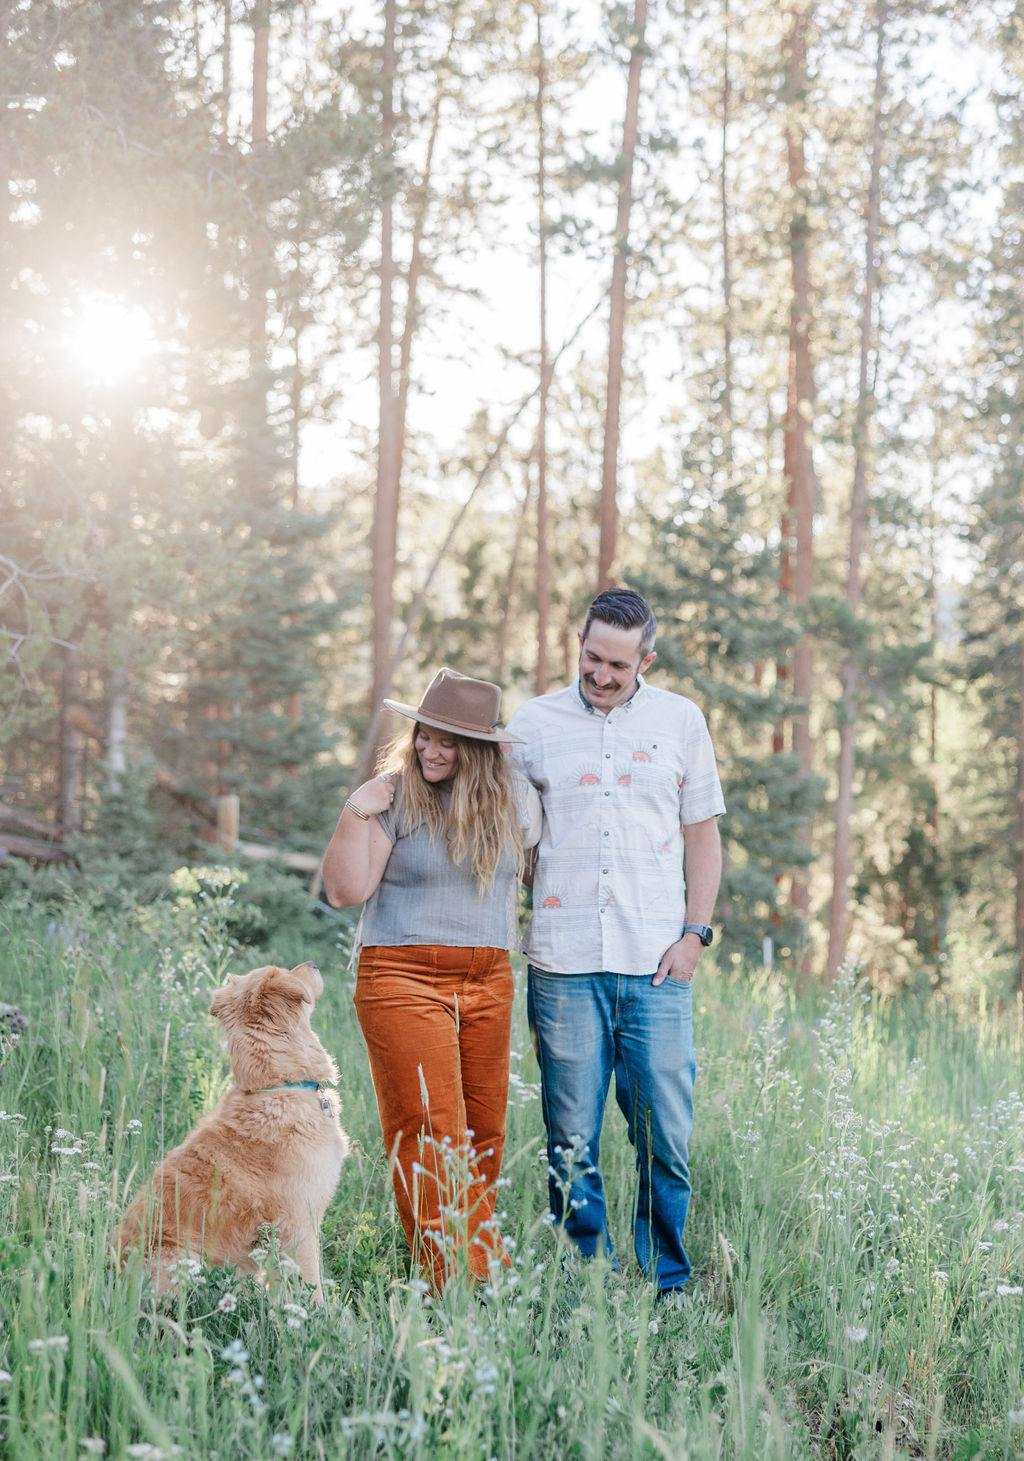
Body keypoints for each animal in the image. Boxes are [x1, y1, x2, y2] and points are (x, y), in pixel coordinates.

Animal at [116, 958, 347, 1303]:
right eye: (289, 972)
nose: (314, 963)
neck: (276, 1086)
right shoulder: (298, 1224)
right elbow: (310, 1283)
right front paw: (323, 1314)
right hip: (182, 1259)